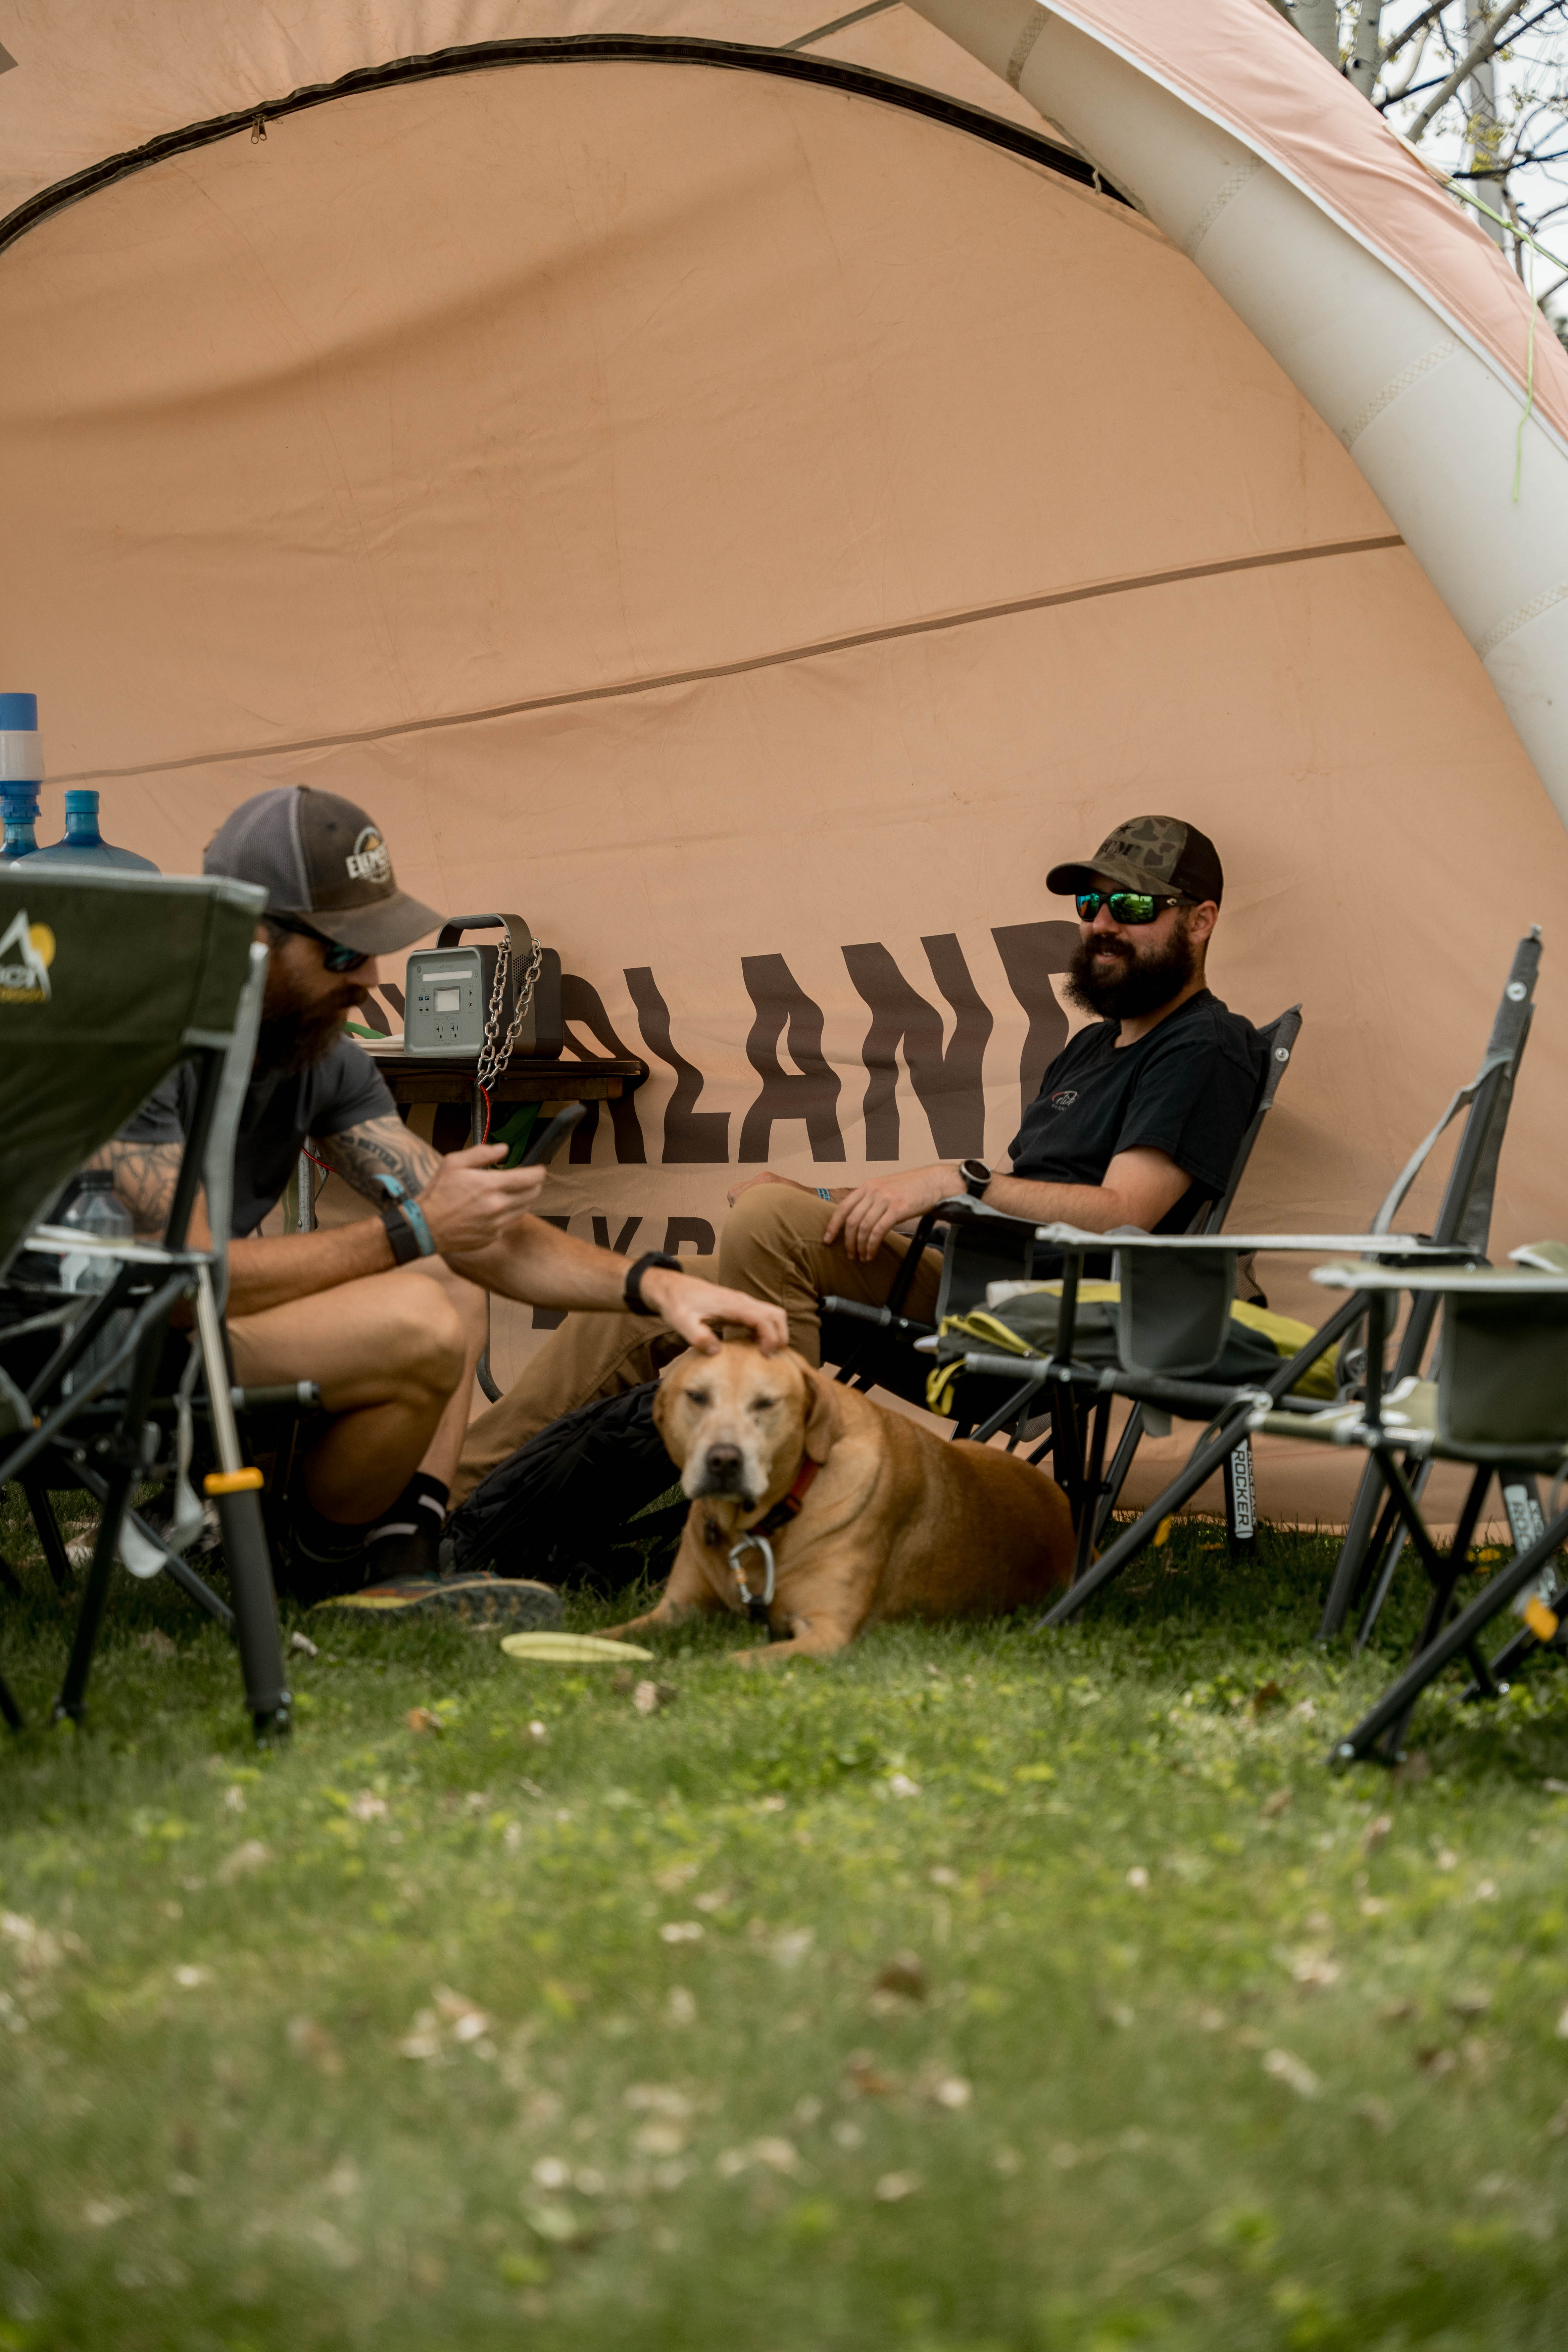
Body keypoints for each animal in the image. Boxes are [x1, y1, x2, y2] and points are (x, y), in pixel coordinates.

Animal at [603, 1341, 1075, 1665]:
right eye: (697, 1397)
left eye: (766, 1403)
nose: (723, 1460)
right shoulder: (674, 1612)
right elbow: (608, 1636)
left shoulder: (826, 1635)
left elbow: (719, 1665)